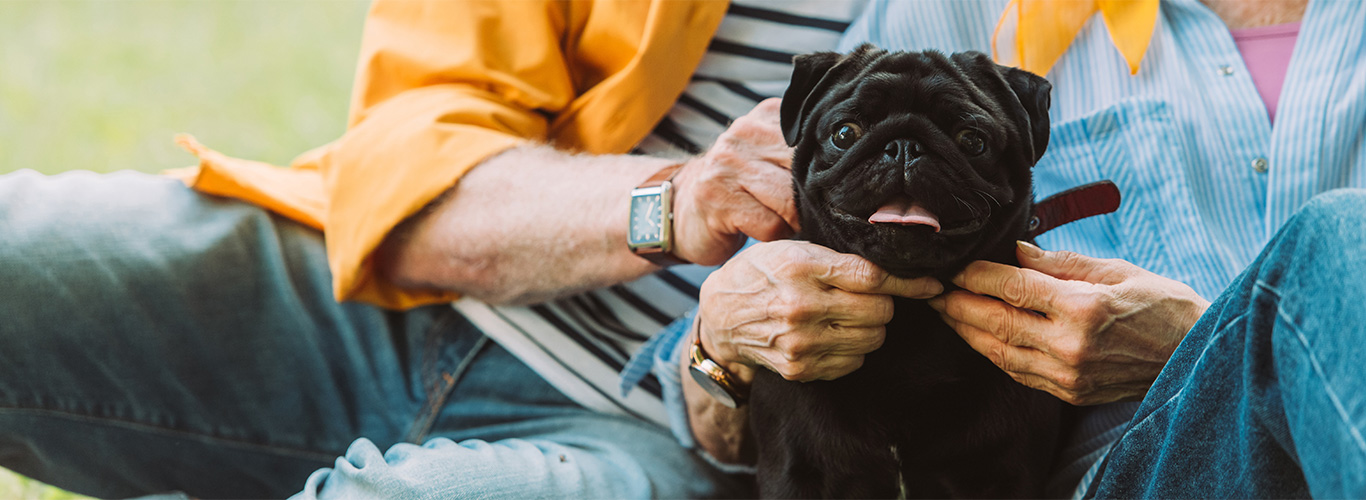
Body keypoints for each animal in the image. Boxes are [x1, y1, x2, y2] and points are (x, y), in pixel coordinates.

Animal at [754, 45, 1070, 497]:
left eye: (973, 141)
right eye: (844, 134)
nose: (904, 145)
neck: (909, 319)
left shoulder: (1009, 474)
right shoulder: (792, 471)